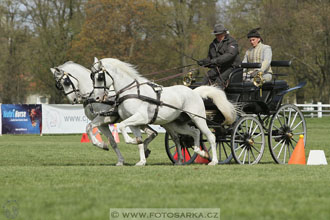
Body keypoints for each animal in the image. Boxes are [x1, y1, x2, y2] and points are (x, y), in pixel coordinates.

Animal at [89, 57, 235, 166]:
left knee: (211, 136)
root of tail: (195, 92)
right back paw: (199, 152)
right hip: (177, 123)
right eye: (91, 76)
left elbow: (120, 125)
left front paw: (133, 141)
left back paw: (213, 161)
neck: (131, 92)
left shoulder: (141, 117)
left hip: (198, 118)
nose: (97, 98)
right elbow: (135, 137)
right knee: (194, 133)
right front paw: (141, 157)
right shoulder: (134, 122)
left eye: (100, 77)